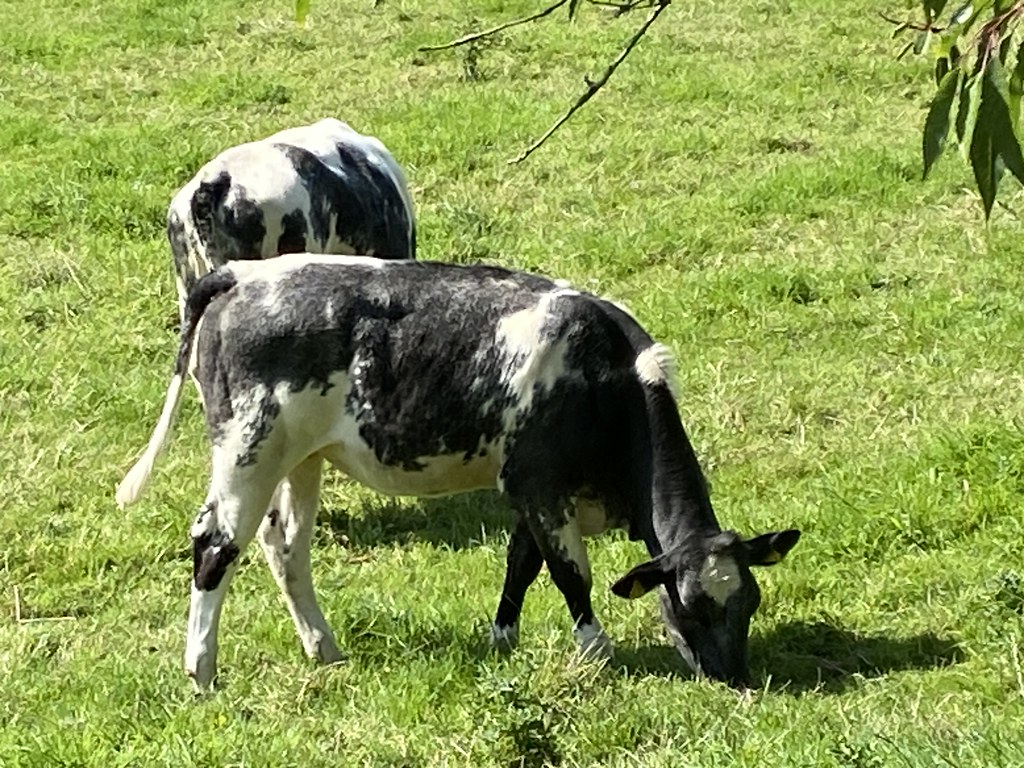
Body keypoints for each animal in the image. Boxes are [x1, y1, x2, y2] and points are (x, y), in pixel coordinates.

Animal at [115, 254, 800, 690]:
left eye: (749, 602)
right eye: (690, 605)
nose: (736, 679)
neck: (604, 376)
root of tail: (242, 274)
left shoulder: (532, 492)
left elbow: (522, 564)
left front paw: (503, 640)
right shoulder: (539, 485)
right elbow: (571, 576)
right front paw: (597, 652)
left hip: (300, 458)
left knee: (284, 546)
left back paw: (324, 649)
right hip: (246, 448)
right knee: (215, 545)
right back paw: (202, 671)